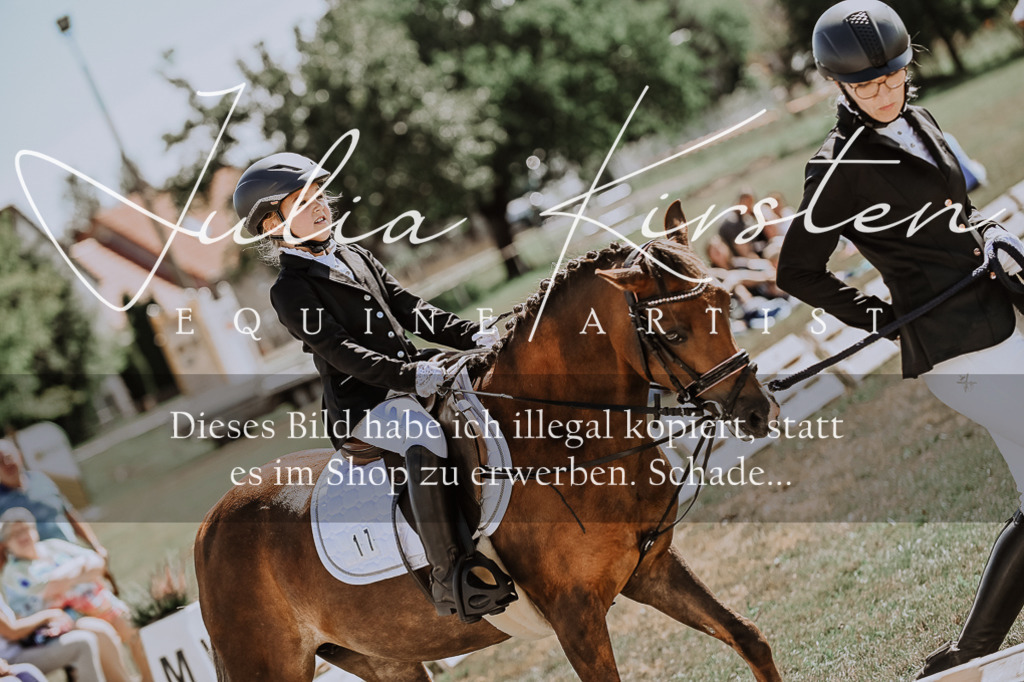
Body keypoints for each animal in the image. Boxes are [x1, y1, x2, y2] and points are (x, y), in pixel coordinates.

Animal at [195, 201, 782, 681]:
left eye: (726, 302)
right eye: (675, 333)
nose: (758, 411)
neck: (562, 439)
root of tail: (208, 525)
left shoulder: (653, 568)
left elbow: (749, 635)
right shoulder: (574, 614)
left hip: (384, 656)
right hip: (267, 665)